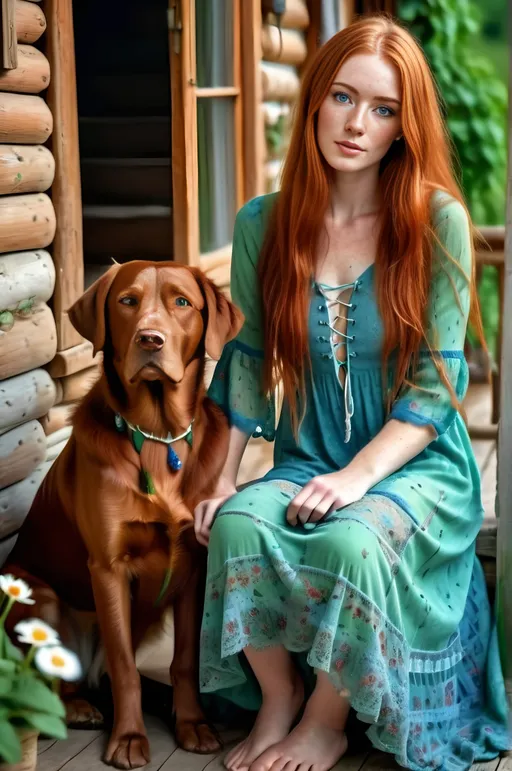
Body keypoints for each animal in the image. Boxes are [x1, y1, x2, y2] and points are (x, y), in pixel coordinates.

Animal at [3, 262, 244, 768]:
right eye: (127, 302)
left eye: (182, 302)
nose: (150, 339)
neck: (156, 435)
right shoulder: (108, 568)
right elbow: (124, 665)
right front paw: (130, 739)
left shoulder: (192, 566)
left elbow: (184, 659)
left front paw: (192, 725)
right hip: (40, 595)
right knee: (61, 680)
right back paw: (80, 707)